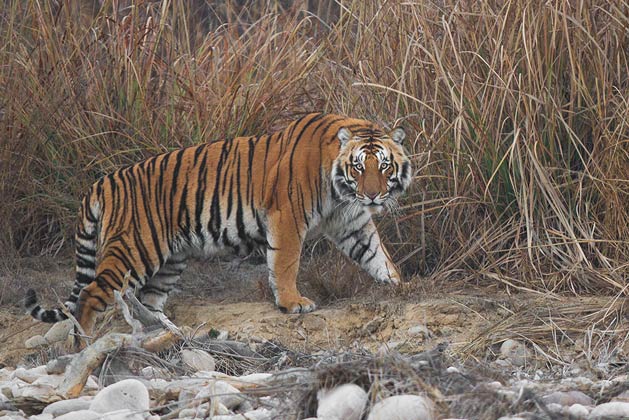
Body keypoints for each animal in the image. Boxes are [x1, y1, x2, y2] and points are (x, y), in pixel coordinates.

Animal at [25, 112, 412, 344]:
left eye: (384, 165)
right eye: (359, 166)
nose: (373, 195)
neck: (341, 192)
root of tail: (102, 182)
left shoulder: (353, 224)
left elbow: (378, 257)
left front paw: (401, 286)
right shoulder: (287, 217)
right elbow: (286, 264)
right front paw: (292, 303)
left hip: (170, 261)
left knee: (148, 303)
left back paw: (167, 333)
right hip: (134, 250)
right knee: (89, 296)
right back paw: (85, 346)